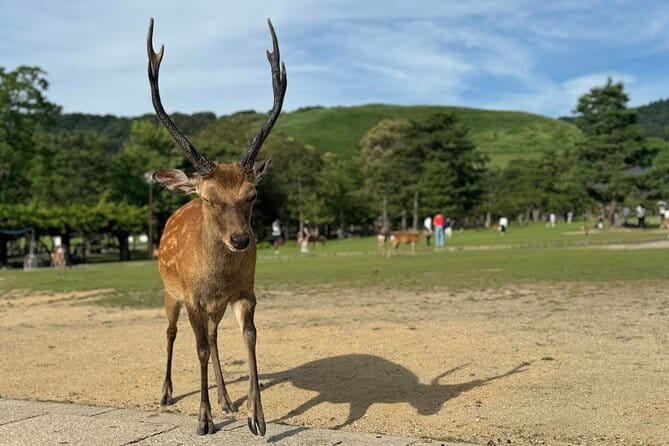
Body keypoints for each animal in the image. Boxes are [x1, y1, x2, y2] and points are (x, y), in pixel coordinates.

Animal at [146, 17, 286, 437]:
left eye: (253, 194)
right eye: (209, 198)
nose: (241, 240)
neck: (218, 276)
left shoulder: (245, 292)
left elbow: (249, 338)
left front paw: (257, 417)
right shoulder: (193, 296)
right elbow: (199, 349)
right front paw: (203, 419)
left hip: (215, 305)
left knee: (213, 333)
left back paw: (226, 398)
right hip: (169, 291)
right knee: (173, 333)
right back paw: (166, 393)